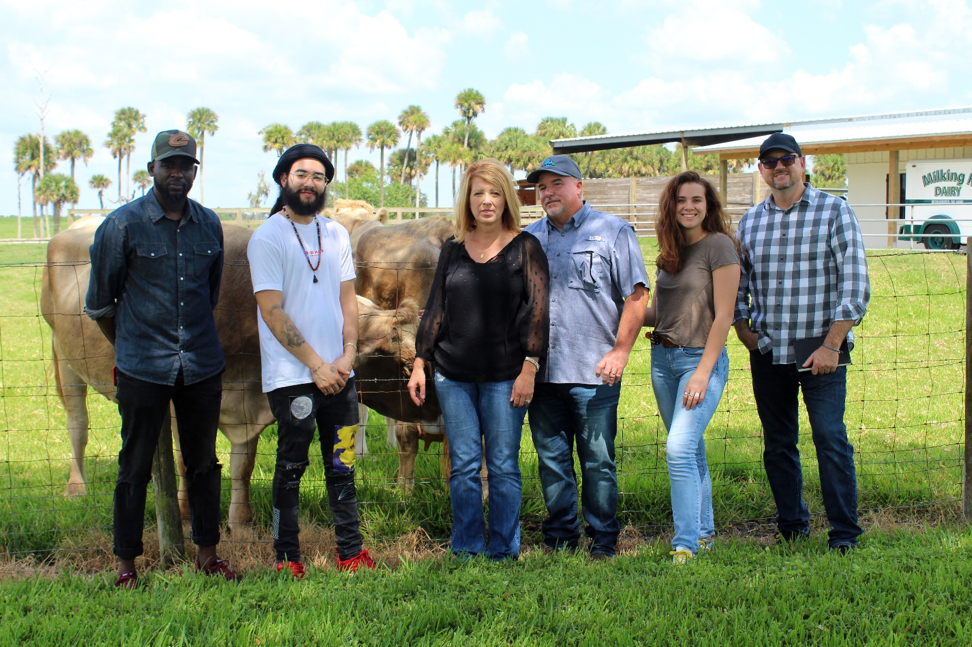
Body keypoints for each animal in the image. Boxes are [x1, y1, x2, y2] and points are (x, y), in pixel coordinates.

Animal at [41, 220, 424, 528]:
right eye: (405, 361)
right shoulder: (182, 402)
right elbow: (184, 462)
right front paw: (185, 514)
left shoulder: (251, 401)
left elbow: (243, 465)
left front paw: (240, 523)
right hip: (64, 358)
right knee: (78, 425)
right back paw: (76, 487)